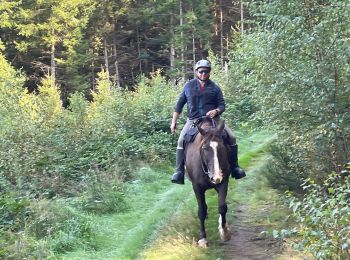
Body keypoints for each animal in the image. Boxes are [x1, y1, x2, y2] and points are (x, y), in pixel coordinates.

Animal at [185, 117, 231, 247]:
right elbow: (201, 211)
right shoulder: (197, 187)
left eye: (221, 147)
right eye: (205, 149)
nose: (216, 177)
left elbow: (222, 206)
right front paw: (202, 238)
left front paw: (224, 232)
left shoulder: (223, 182)